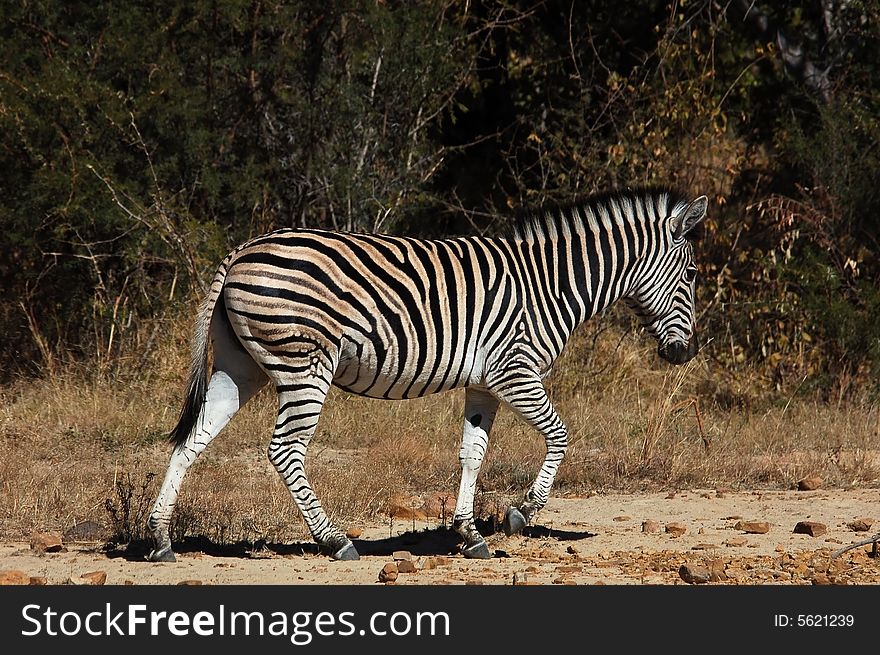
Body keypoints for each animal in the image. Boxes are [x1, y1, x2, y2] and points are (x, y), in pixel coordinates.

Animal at [144, 186, 708, 564]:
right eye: (692, 274)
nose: (684, 355)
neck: (550, 283)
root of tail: (241, 251)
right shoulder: (515, 370)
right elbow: (560, 436)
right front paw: (522, 513)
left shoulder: (484, 383)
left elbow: (472, 453)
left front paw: (469, 535)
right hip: (305, 364)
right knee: (285, 450)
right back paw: (335, 540)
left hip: (241, 367)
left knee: (192, 440)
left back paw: (160, 540)